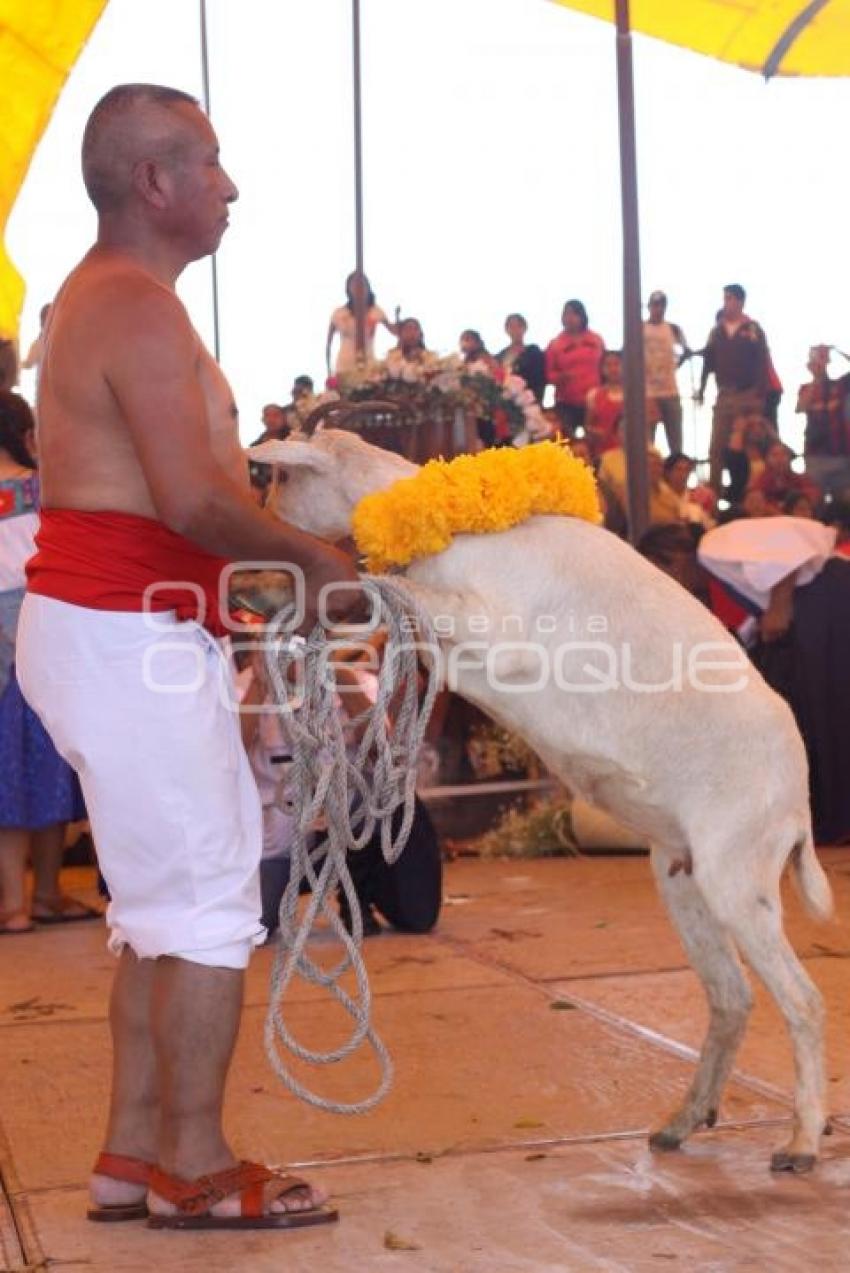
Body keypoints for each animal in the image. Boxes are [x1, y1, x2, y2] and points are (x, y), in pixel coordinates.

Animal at [255, 430, 834, 1171]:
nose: (264, 508)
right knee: (731, 998)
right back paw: (680, 1122)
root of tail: (798, 803)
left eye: (283, 478)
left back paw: (801, 1140)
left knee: (804, 1001)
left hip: (740, 873)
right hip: (683, 875)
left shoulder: (491, 624)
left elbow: (399, 588)